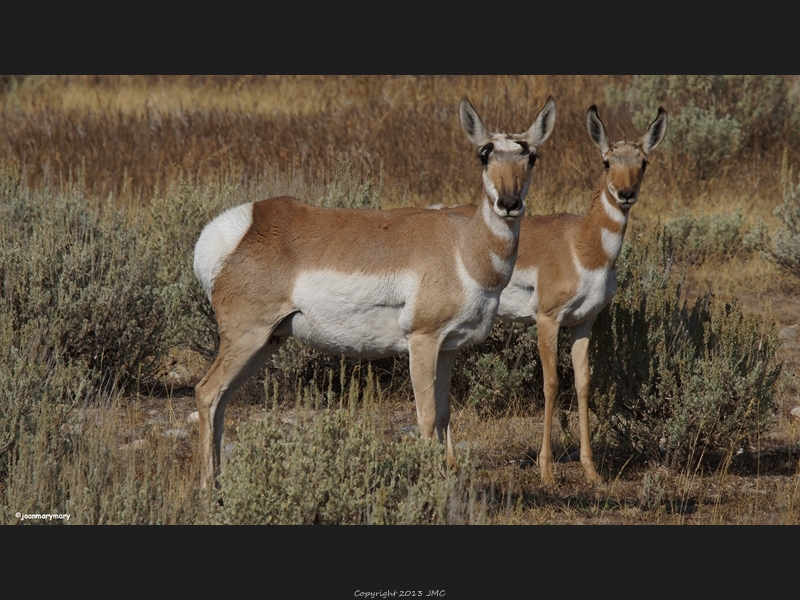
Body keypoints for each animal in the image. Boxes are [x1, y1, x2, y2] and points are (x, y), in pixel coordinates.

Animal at [194, 95, 556, 488]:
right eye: (484, 154)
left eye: (531, 157)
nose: (509, 203)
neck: (462, 247)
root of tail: (243, 226)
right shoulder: (422, 340)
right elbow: (426, 416)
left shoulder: (448, 348)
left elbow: (445, 414)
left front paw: (449, 475)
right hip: (248, 337)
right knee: (207, 392)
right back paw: (207, 487)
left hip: (267, 341)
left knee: (221, 398)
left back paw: (218, 484)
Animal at [444, 105, 668, 486]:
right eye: (607, 161)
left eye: (644, 161)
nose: (625, 194)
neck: (582, 245)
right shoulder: (547, 320)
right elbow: (550, 384)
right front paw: (547, 470)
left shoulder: (583, 323)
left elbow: (583, 384)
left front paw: (592, 471)